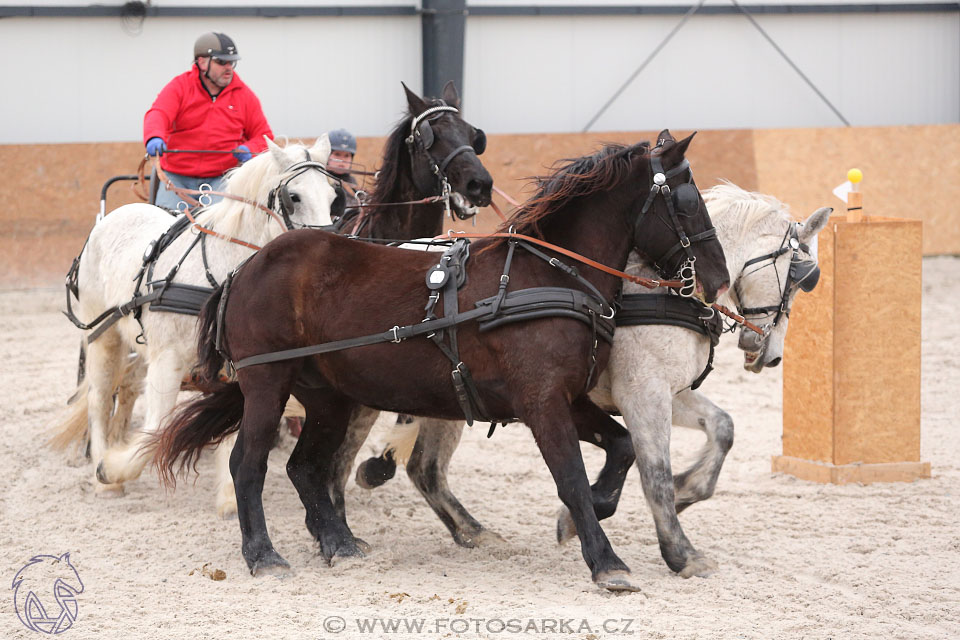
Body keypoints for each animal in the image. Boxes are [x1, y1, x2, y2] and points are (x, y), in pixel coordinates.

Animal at [52, 135, 340, 504]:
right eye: (294, 197)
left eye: (333, 196)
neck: (222, 274)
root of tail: (111, 217)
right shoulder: (168, 360)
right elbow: (157, 428)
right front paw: (112, 469)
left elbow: (237, 429)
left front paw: (230, 497)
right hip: (104, 336)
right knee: (99, 398)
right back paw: (105, 473)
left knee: (127, 386)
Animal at [156, 131, 728, 596]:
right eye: (686, 202)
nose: (717, 279)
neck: (549, 276)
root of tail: (248, 267)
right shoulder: (542, 402)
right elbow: (569, 475)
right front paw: (606, 560)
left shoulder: (568, 396)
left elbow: (621, 448)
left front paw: (587, 515)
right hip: (267, 383)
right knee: (247, 464)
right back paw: (264, 555)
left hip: (328, 396)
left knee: (307, 468)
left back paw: (340, 544)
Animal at [348, 182, 828, 572]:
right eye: (803, 277)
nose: (772, 355)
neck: (662, 287)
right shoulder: (642, 394)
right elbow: (654, 473)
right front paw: (677, 550)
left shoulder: (663, 393)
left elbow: (722, 428)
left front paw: (687, 489)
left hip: (451, 394)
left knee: (424, 469)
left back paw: (472, 532)